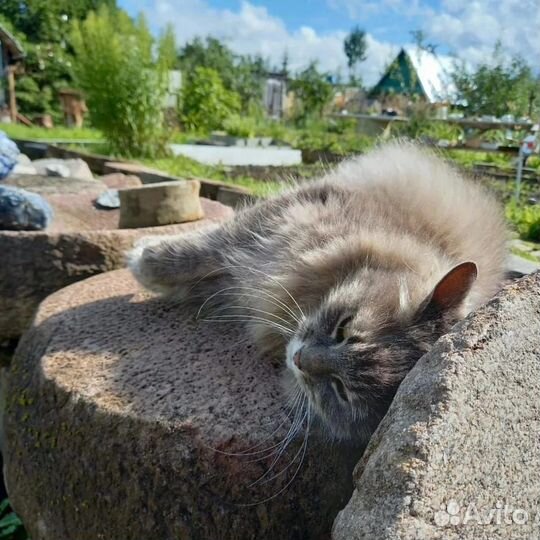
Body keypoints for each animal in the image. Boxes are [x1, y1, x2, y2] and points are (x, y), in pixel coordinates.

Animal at [129, 142, 508, 442]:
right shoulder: (287, 218)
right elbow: (200, 251)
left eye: (340, 390)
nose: (299, 359)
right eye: (343, 328)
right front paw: (144, 259)